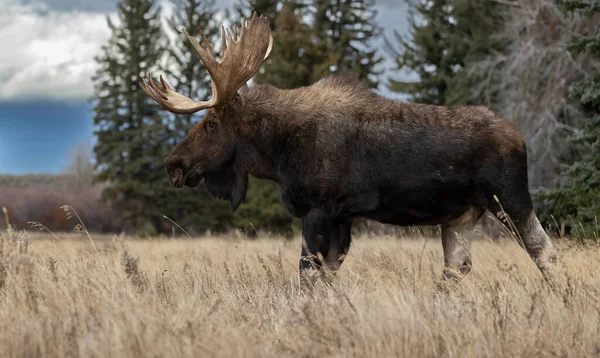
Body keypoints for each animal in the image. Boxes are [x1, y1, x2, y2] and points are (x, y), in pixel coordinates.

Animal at [141, 13, 556, 282]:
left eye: (211, 124)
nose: (173, 164)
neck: (277, 152)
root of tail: (520, 139)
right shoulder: (342, 217)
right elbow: (326, 275)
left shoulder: (318, 209)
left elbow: (308, 274)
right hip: (461, 217)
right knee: (457, 268)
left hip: (509, 197)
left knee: (543, 249)